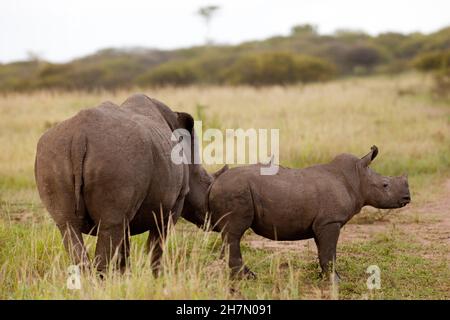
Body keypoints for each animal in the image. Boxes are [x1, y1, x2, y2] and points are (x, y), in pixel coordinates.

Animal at [207, 146, 412, 278]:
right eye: (385, 185)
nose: (407, 198)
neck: (357, 177)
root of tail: (214, 182)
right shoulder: (331, 221)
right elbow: (329, 252)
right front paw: (335, 281)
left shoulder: (322, 224)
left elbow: (324, 251)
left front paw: (324, 276)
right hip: (235, 189)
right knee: (234, 234)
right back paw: (248, 277)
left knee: (230, 234)